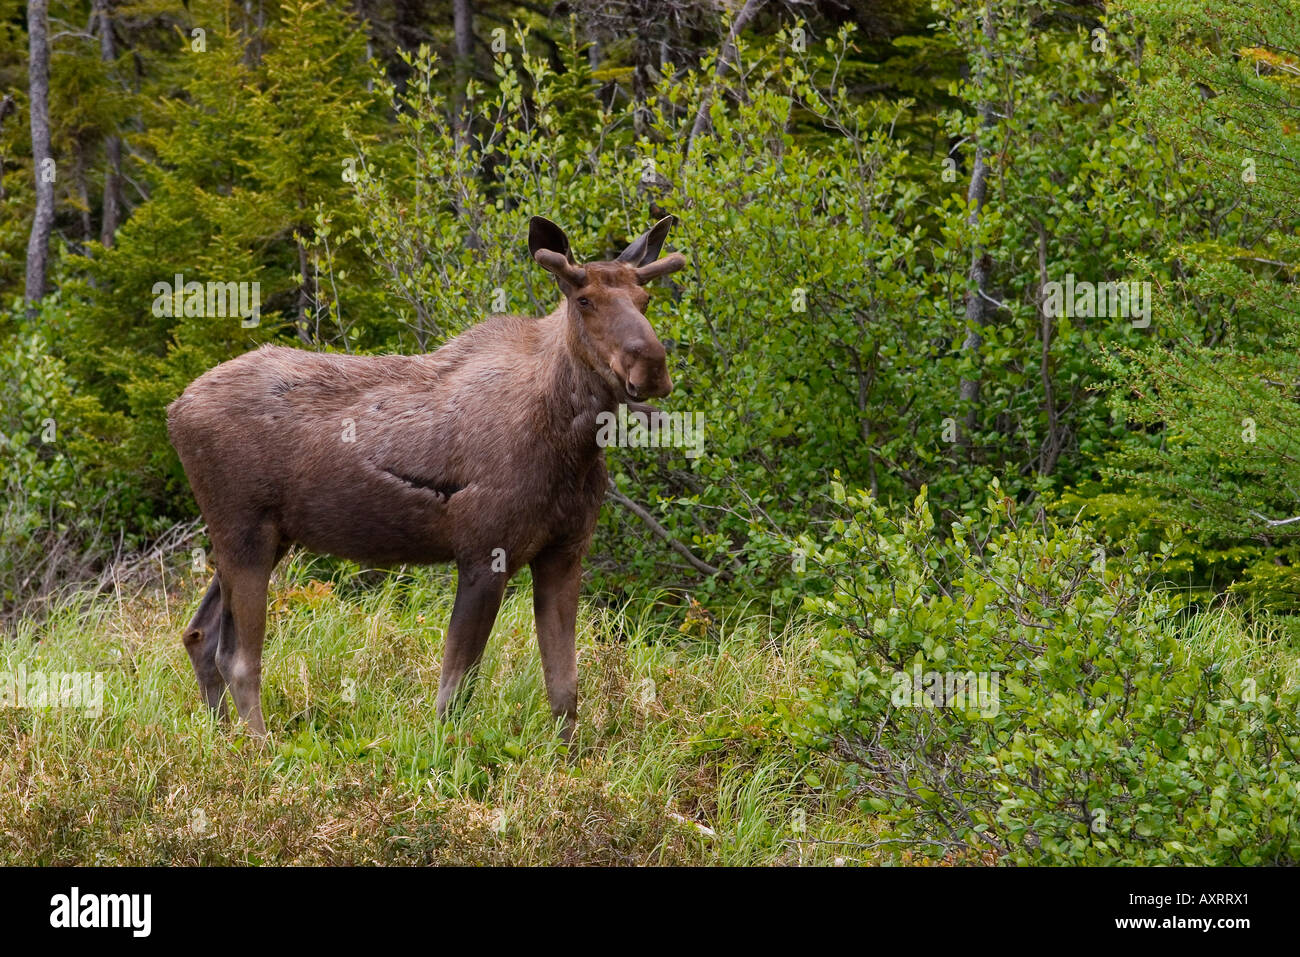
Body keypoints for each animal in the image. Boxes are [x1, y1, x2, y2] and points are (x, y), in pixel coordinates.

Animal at [167, 216, 686, 742]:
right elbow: (454, 692)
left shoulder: (564, 552)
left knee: (199, 634)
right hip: (244, 532)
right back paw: (260, 749)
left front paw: (571, 757)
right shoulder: (483, 553)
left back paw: (224, 741)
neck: (574, 444)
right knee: (238, 657)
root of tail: (174, 410)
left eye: (645, 298)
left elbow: (564, 686)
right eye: (584, 300)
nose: (652, 365)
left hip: (267, 538)